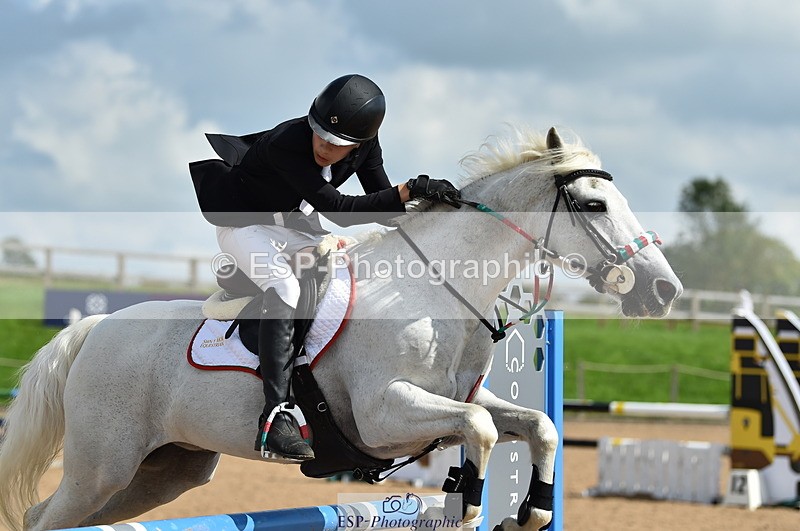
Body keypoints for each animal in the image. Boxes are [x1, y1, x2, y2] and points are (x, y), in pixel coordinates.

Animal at [0, 126, 682, 531]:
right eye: (594, 205)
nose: (664, 290)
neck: (434, 287)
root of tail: (93, 329)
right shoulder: (384, 414)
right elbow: (481, 429)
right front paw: (465, 498)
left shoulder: (460, 397)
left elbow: (535, 424)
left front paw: (531, 511)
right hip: (102, 464)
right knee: (43, 518)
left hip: (165, 470)